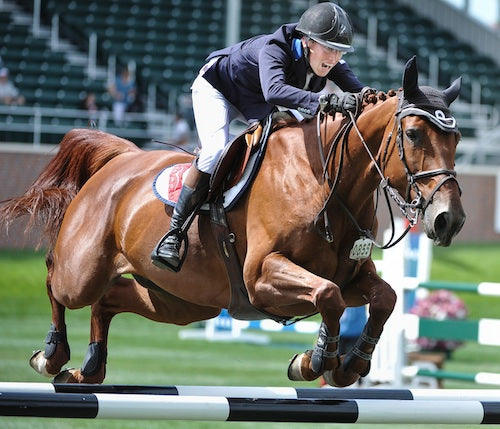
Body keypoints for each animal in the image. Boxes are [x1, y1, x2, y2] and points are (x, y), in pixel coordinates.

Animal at [0, 55, 464, 386]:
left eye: (457, 139)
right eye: (413, 135)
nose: (449, 221)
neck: (326, 180)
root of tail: (121, 158)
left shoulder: (352, 276)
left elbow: (384, 298)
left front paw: (347, 365)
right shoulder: (262, 275)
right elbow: (327, 295)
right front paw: (315, 361)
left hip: (178, 301)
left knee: (110, 299)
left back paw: (89, 368)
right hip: (84, 269)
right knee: (56, 279)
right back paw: (51, 355)